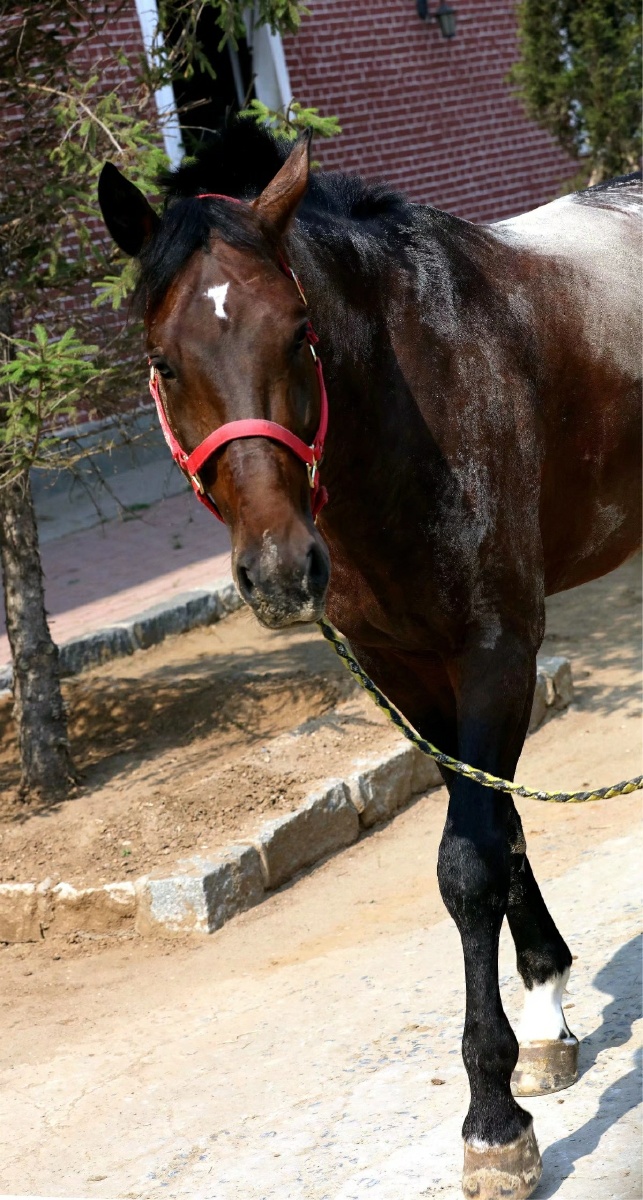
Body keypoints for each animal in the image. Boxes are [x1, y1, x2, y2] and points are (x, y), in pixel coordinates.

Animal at [98, 121, 642, 1200]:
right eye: (164, 363)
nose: (278, 571)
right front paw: (548, 1016)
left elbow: (470, 861)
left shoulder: (494, 650)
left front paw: (492, 1123)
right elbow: (501, 833)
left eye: (299, 335)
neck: (419, 392)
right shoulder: (408, 666)